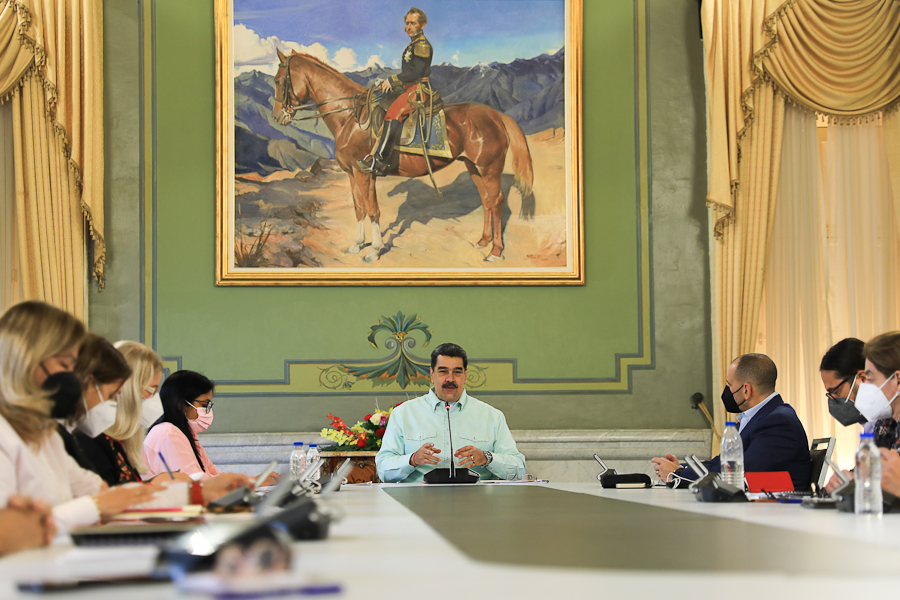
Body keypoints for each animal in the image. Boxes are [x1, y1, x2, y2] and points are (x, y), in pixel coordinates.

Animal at [270, 48, 532, 260]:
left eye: (279, 80)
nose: (277, 117)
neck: (350, 118)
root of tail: (496, 115)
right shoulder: (352, 173)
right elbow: (359, 208)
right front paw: (356, 245)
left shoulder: (365, 174)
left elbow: (372, 210)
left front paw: (374, 251)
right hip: (473, 166)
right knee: (486, 200)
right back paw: (483, 241)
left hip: (490, 168)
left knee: (497, 202)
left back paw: (495, 250)